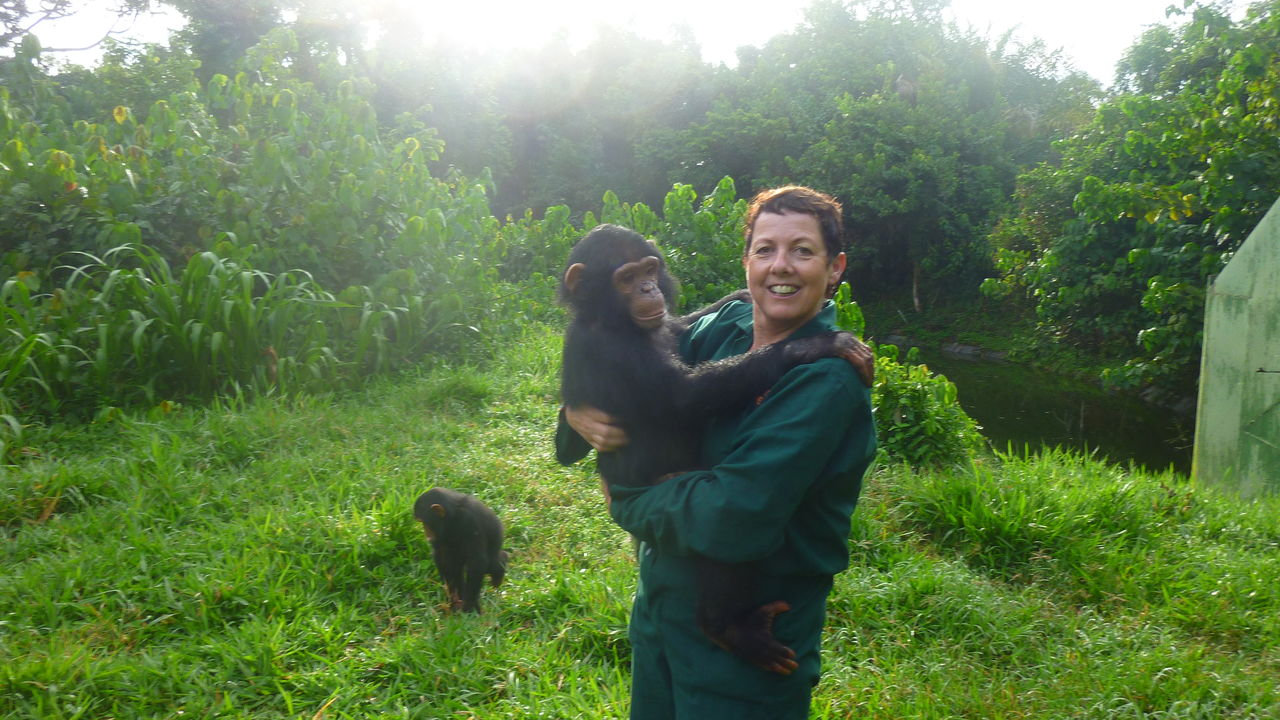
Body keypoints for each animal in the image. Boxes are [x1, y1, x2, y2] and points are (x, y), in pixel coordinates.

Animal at [412, 481, 506, 609]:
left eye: (424, 522)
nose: (426, 533)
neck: (453, 515)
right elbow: (443, 556)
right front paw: (452, 597)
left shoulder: (469, 521)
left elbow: (477, 562)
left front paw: (469, 605)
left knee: (492, 564)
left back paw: (501, 567)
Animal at [555, 224, 865, 671]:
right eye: (626, 278)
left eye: (648, 269)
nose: (648, 288)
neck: (612, 319)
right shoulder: (612, 352)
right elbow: (683, 398)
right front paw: (810, 347)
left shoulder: (665, 326)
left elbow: (683, 325)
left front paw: (739, 297)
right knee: (721, 522)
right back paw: (726, 628)